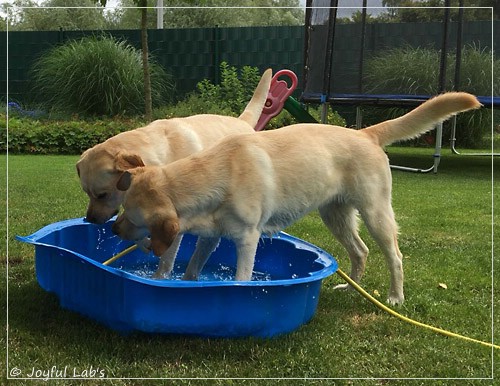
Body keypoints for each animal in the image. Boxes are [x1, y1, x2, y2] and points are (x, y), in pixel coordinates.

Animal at [112, 92, 480, 304]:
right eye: (123, 207)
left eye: (132, 215)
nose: (112, 228)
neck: (215, 174)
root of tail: (366, 133)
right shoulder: (211, 237)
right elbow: (191, 270)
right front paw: (187, 286)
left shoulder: (248, 239)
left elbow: (241, 278)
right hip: (336, 217)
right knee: (360, 252)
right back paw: (351, 290)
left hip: (376, 214)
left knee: (396, 257)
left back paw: (394, 297)